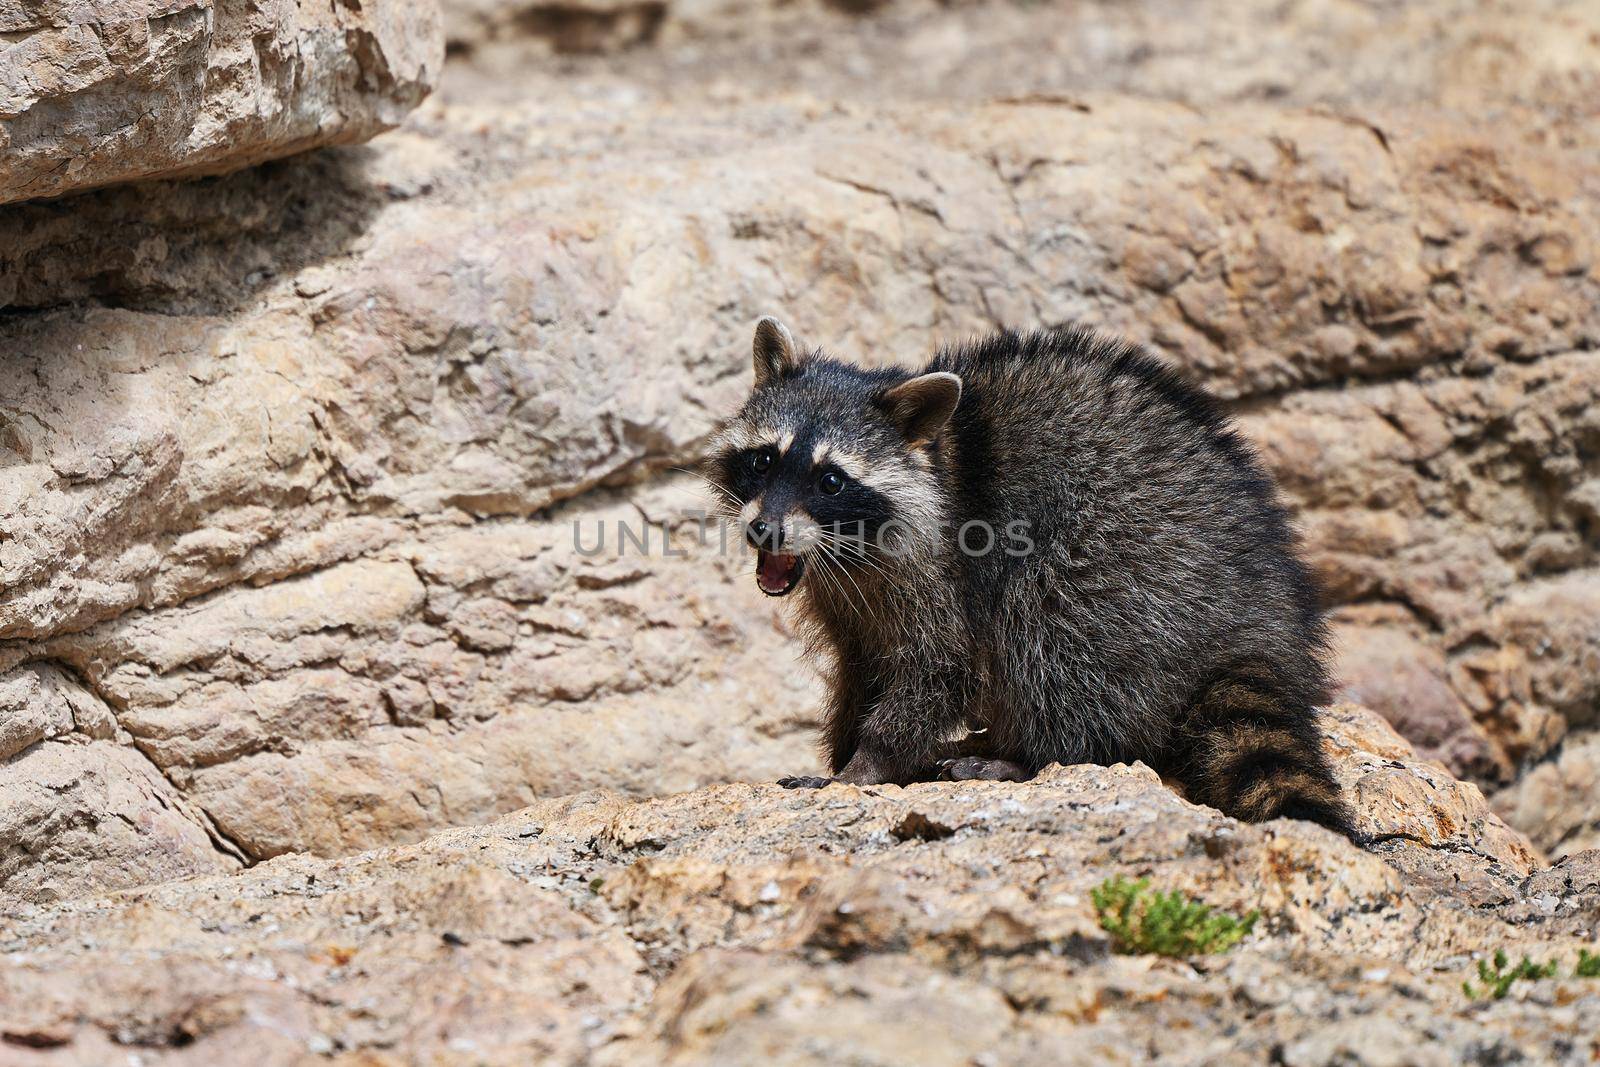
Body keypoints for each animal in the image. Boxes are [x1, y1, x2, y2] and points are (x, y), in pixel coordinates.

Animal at [704, 316, 1350, 831]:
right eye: (764, 459)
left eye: (831, 480)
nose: (764, 531)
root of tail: (1261, 617)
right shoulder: (848, 602)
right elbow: (860, 671)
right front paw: (844, 751)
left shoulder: (943, 574)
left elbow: (936, 671)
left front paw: (864, 767)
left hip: (1133, 575)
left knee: (1051, 637)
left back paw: (1036, 754)